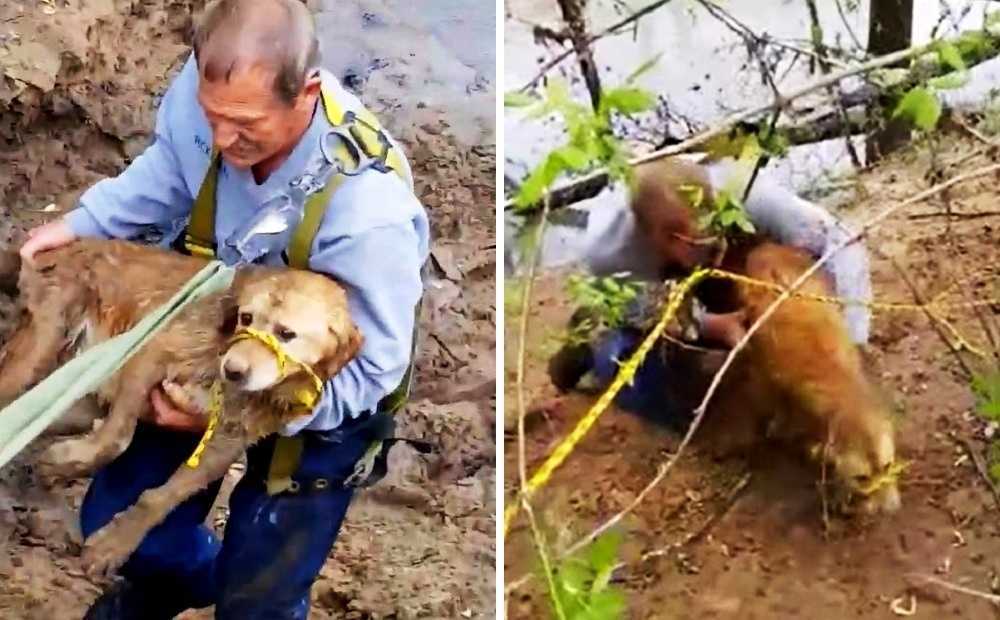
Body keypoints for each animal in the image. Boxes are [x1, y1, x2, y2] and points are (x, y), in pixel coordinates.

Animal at [0, 237, 364, 572]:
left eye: (287, 334)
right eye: (246, 318)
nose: (233, 370)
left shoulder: (226, 442)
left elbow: (162, 498)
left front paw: (114, 545)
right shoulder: (151, 351)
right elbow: (117, 439)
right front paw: (66, 461)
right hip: (38, 350)